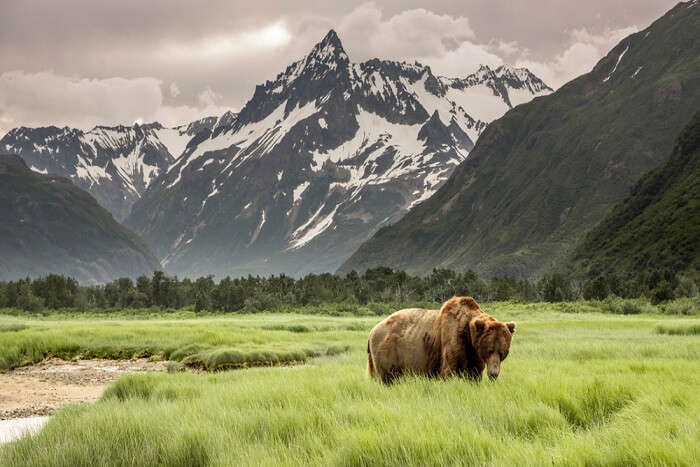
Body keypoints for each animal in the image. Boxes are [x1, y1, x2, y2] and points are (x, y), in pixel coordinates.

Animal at [366, 296, 516, 384]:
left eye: (503, 352)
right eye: (490, 350)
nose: (494, 374)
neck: (469, 336)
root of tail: (372, 330)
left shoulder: (473, 353)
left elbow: (474, 373)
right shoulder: (452, 338)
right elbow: (449, 370)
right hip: (389, 350)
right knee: (388, 377)